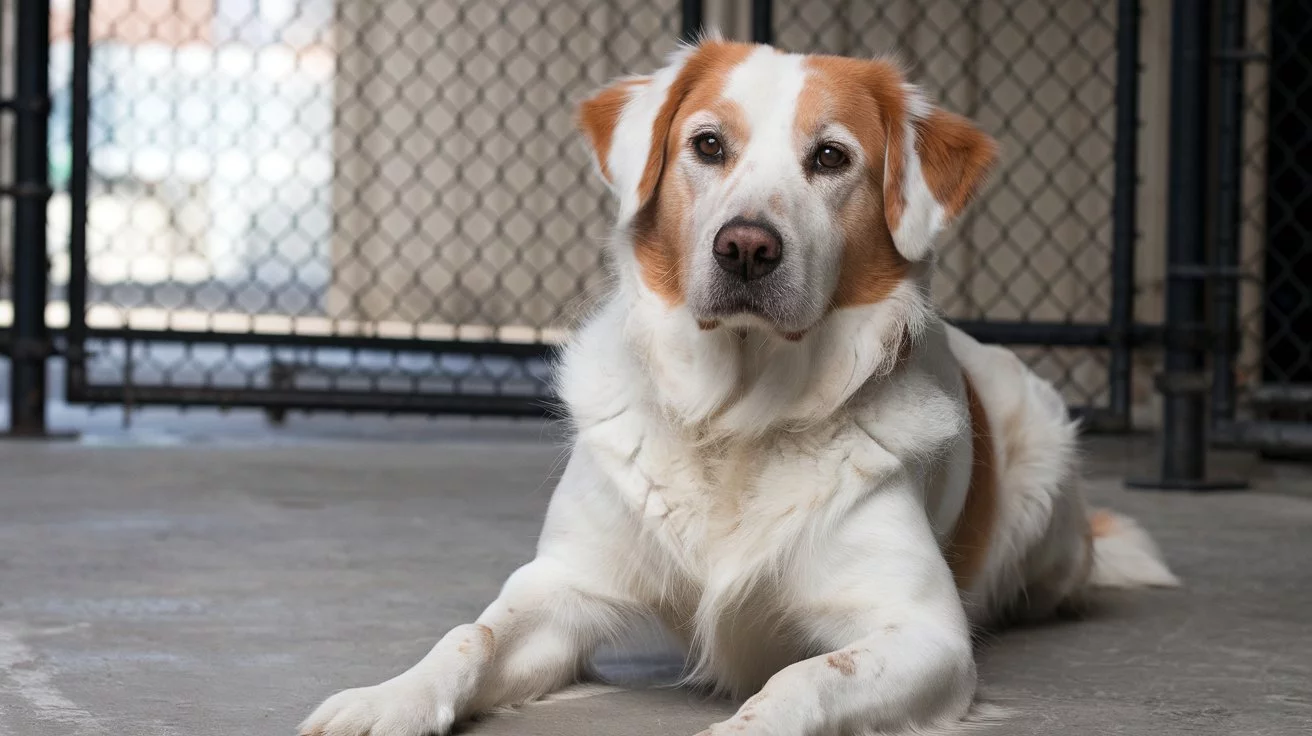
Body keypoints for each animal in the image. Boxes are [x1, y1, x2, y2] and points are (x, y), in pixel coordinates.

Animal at [300, 40, 1180, 734]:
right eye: (709, 144)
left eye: (830, 157)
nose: (747, 248)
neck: (735, 416)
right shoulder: (565, 585)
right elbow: (469, 636)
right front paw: (386, 700)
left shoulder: (923, 632)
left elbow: (803, 678)